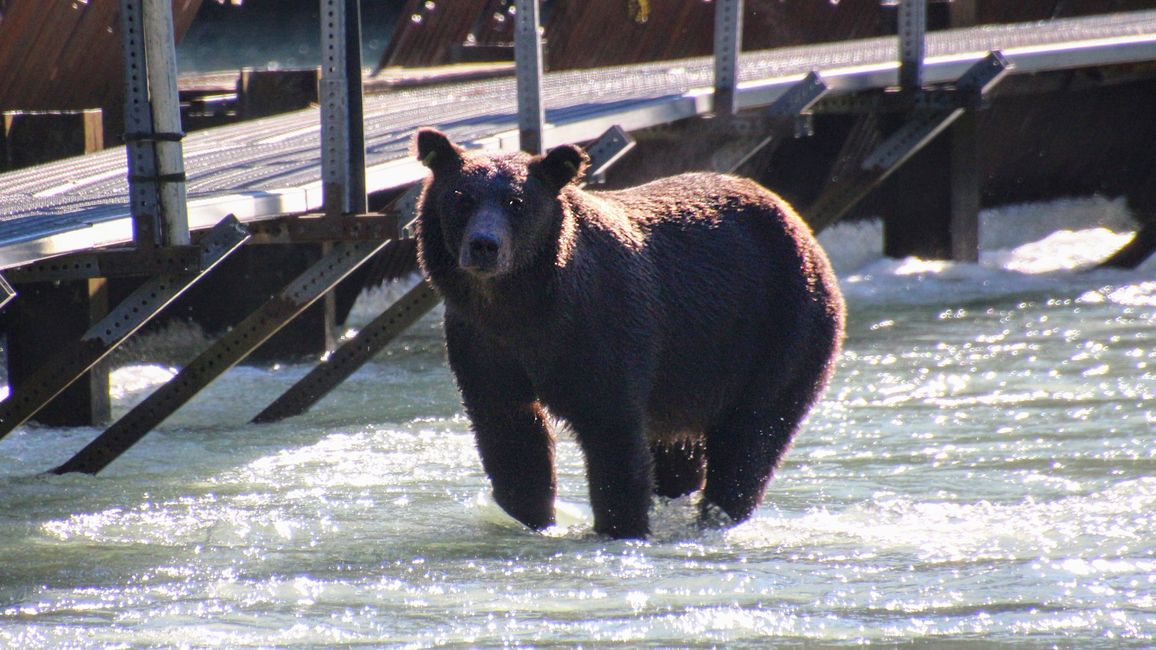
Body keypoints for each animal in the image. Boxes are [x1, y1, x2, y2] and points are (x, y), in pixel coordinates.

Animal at [413, 126, 841, 536]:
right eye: (462, 198)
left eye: (517, 202)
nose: (484, 245)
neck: (518, 304)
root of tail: (797, 220)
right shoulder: (482, 343)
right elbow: (509, 434)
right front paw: (533, 517)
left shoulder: (603, 326)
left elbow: (613, 436)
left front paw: (620, 525)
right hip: (691, 370)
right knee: (681, 451)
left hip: (781, 328)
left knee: (751, 438)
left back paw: (718, 514)